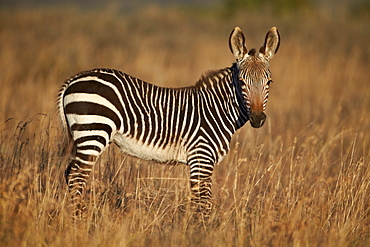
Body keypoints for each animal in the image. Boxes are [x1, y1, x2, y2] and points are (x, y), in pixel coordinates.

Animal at [59, 26, 280, 217]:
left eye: (269, 82)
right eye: (241, 82)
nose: (257, 118)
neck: (216, 110)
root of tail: (73, 79)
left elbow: (201, 200)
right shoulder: (201, 156)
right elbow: (203, 202)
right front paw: (201, 231)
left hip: (83, 137)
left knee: (70, 173)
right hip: (93, 132)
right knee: (77, 177)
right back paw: (79, 220)